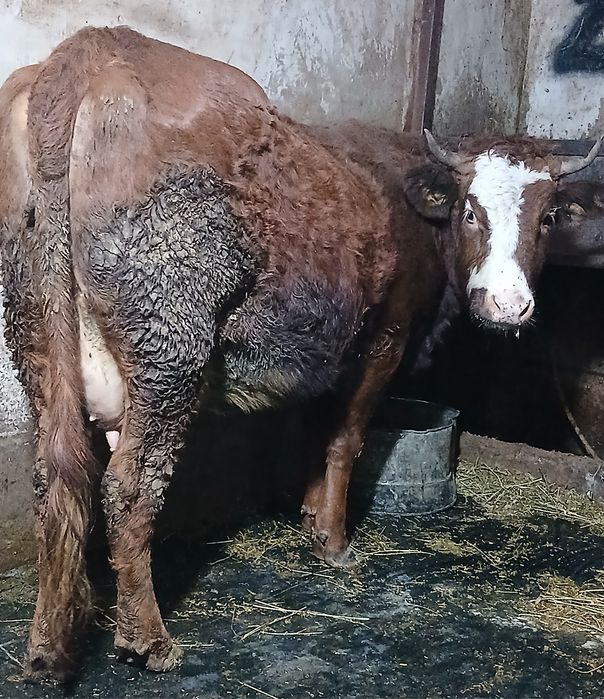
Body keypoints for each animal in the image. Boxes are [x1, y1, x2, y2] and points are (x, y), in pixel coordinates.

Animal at [0, 25, 601, 682]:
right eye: (471, 210)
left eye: (549, 216)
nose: (508, 306)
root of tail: (92, 48)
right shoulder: (385, 336)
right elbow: (345, 437)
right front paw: (333, 541)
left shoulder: (331, 345)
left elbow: (318, 425)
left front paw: (312, 513)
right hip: (169, 340)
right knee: (128, 486)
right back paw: (149, 640)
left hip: (36, 326)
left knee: (57, 474)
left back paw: (47, 646)